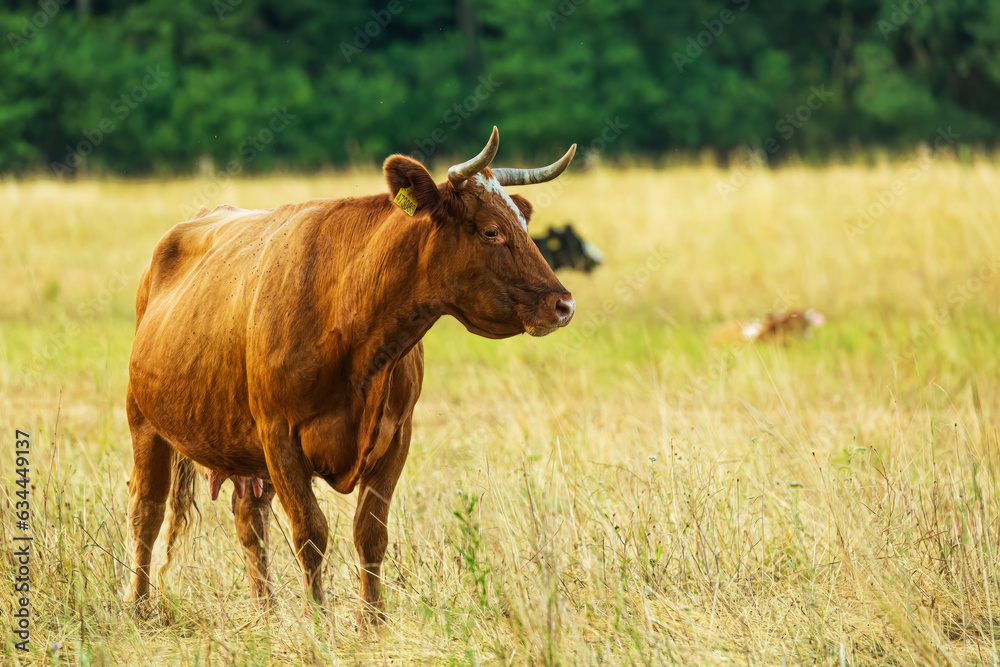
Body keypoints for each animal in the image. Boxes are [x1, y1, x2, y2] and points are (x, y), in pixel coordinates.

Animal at [123, 129, 580, 628]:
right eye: (491, 230)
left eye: (524, 226)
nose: (563, 304)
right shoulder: (279, 436)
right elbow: (310, 532)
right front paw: (320, 620)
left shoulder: (396, 436)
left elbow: (370, 532)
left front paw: (372, 621)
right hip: (145, 422)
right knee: (146, 509)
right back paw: (140, 605)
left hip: (247, 455)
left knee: (249, 519)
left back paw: (266, 613)